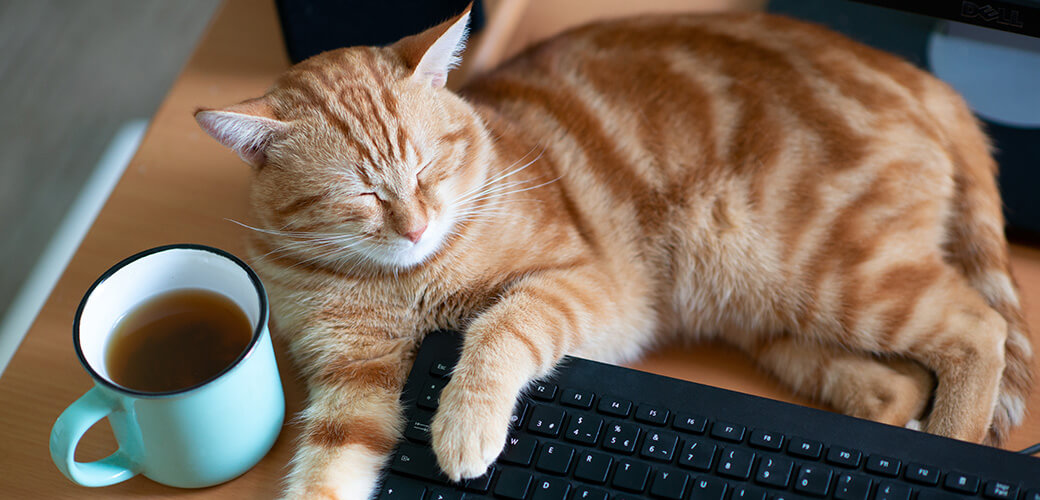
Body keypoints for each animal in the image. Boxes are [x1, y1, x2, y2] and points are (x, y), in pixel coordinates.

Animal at [193, 4, 1031, 498]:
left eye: (430, 166)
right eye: (363, 194)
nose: (415, 225)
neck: (396, 283)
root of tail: (918, 76)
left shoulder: (584, 282)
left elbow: (499, 327)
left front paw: (462, 426)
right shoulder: (354, 386)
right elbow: (328, 472)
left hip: (830, 270)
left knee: (976, 330)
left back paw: (952, 437)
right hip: (769, 310)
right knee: (894, 386)